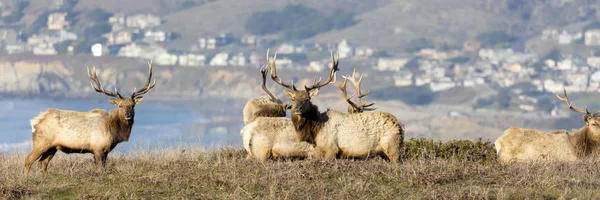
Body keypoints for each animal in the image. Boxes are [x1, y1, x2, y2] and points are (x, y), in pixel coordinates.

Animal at [24, 62, 158, 175]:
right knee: (28, 160)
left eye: (132, 105)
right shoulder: (97, 147)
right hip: (41, 142)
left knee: (42, 164)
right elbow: (100, 168)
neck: (113, 131)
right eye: (120, 105)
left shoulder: (105, 150)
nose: (128, 114)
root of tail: (35, 121)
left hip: (52, 147)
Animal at [270, 51, 404, 162]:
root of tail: (399, 126)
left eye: (307, 99)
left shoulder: (331, 148)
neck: (315, 132)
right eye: (293, 99)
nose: (298, 109)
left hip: (392, 146)